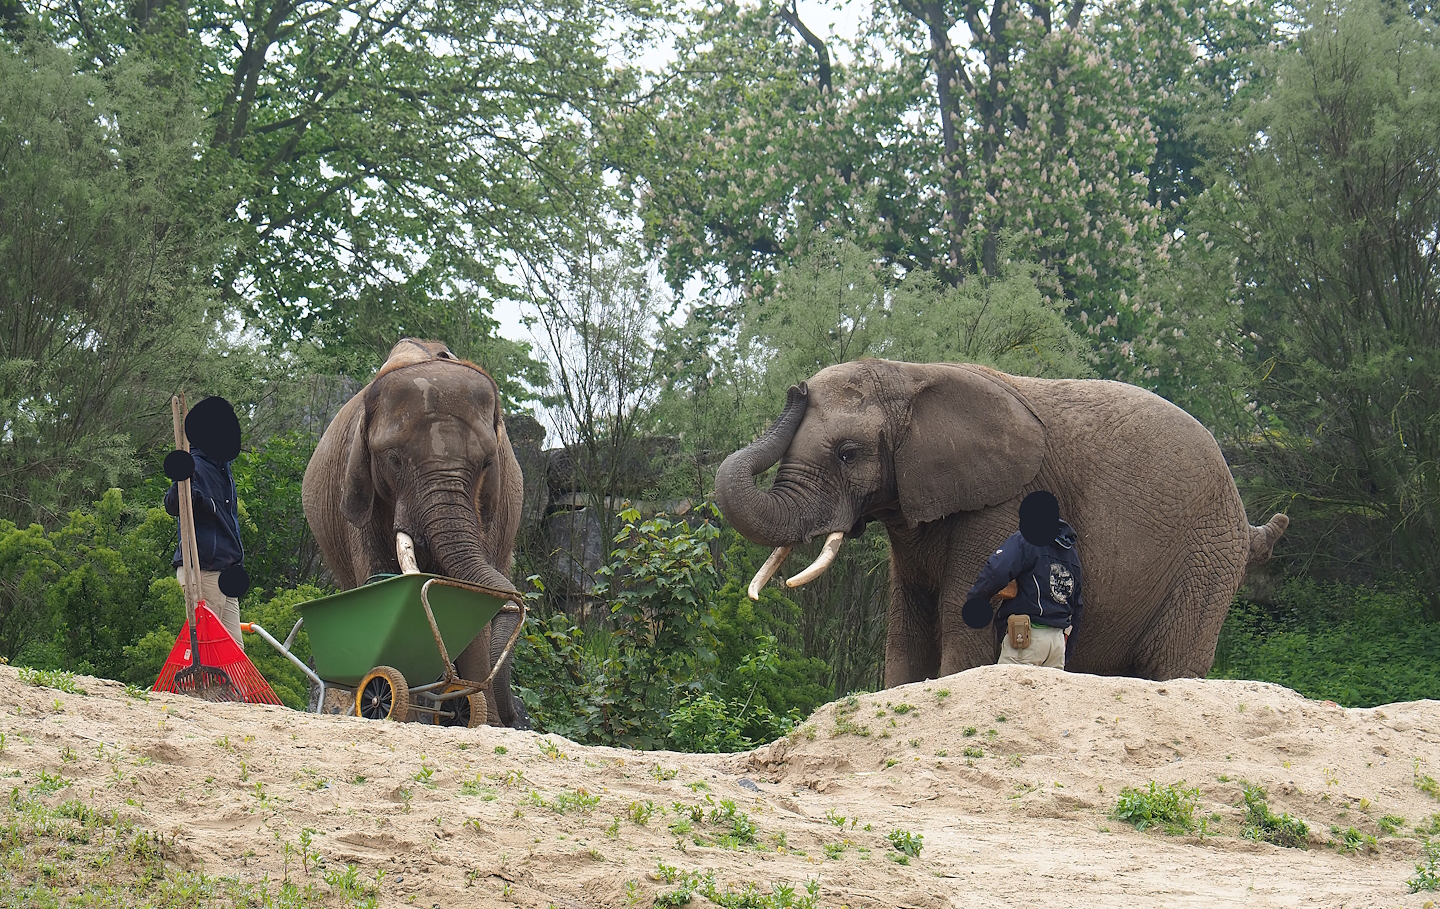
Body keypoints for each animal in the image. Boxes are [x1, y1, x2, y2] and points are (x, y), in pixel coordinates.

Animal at [302, 338, 530, 727]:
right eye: (393, 460)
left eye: (487, 462)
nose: (517, 717)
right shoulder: (360, 493)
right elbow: (378, 579)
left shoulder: (490, 508)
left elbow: (471, 600)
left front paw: (481, 721)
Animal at [714, 359, 1289, 683]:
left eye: (849, 454)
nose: (796, 390)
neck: (910, 373)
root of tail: (1246, 519)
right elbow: (907, 614)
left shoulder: (1003, 500)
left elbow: (962, 602)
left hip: (1208, 557)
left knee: (1171, 667)